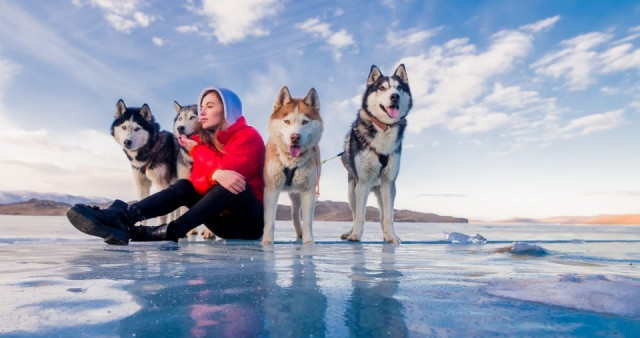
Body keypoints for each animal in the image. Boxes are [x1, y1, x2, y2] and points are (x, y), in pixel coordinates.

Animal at [262, 86, 322, 246]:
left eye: (305, 122)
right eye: (287, 121)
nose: (295, 137)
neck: (291, 161)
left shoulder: (308, 191)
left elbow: (307, 221)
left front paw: (309, 242)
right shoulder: (272, 189)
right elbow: (270, 221)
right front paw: (267, 242)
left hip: (297, 195)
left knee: (295, 214)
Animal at [342, 64, 412, 243]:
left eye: (399, 88)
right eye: (382, 88)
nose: (394, 96)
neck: (384, 127)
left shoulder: (389, 183)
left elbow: (388, 217)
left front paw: (392, 236)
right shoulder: (363, 183)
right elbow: (360, 215)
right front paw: (355, 235)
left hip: (383, 192)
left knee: (383, 216)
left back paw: (387, 235)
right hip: (352, 192)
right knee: (354, 214)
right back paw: (350, 232)